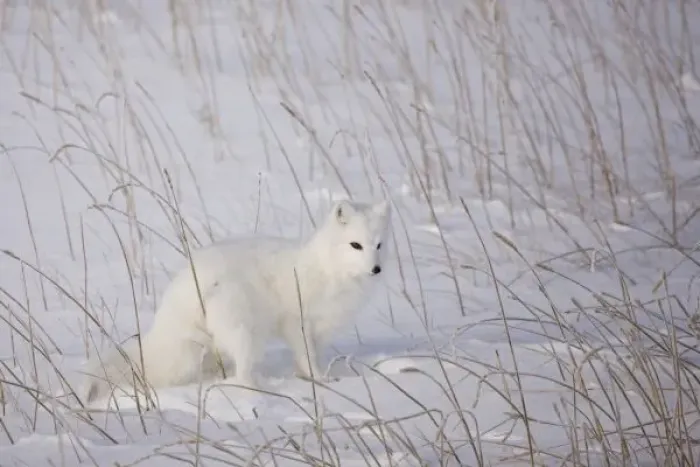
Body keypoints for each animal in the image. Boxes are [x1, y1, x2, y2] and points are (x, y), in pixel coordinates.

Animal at [82, 199, 392, 404]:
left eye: (378, 245)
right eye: (355, 245)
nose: (377, 269)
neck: (329, 270)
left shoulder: (321, 328)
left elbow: (309, 358)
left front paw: (314, 378)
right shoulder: (297, 323)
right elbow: (308, 357)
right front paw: (319, 380)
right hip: (243, 331)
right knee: (242, 375)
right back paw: (260, 390)